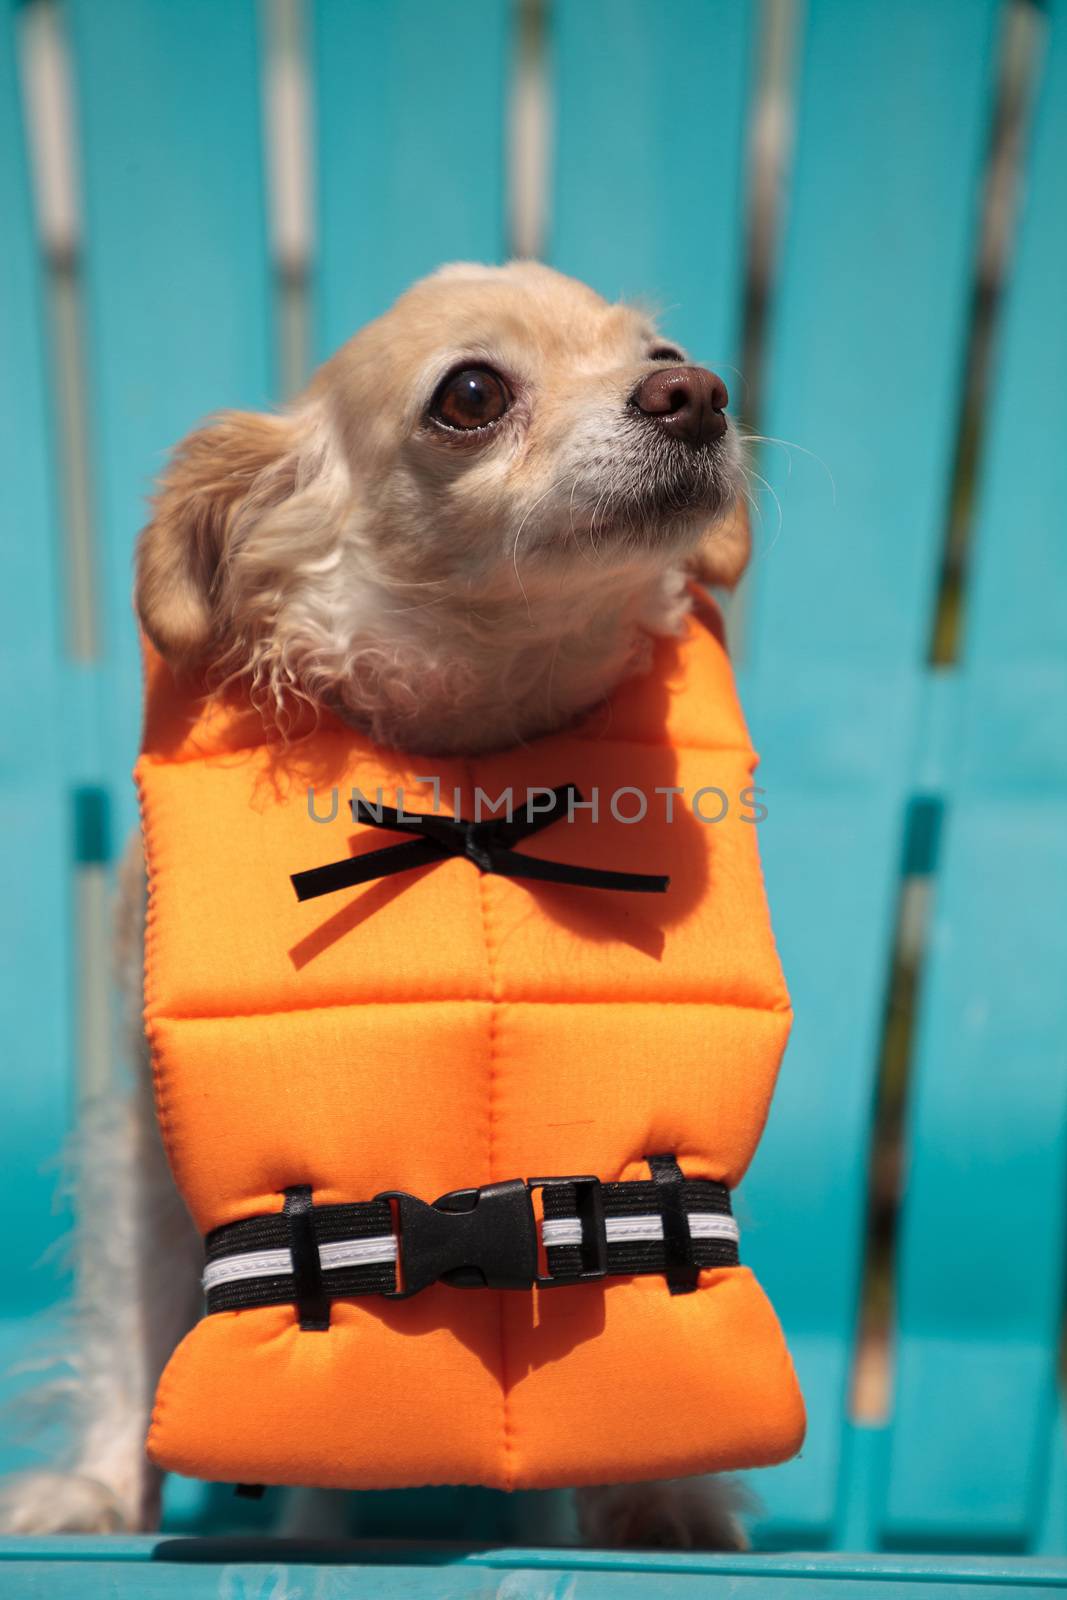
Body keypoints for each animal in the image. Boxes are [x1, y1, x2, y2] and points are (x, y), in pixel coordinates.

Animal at [0, 262, 751, 1548]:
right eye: (470, 394)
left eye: (663, 352)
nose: (694, 392)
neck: (471, 743)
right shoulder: (149, 1140)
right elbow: (142, 1315)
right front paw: (103, 1488)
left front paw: (661, 1504)